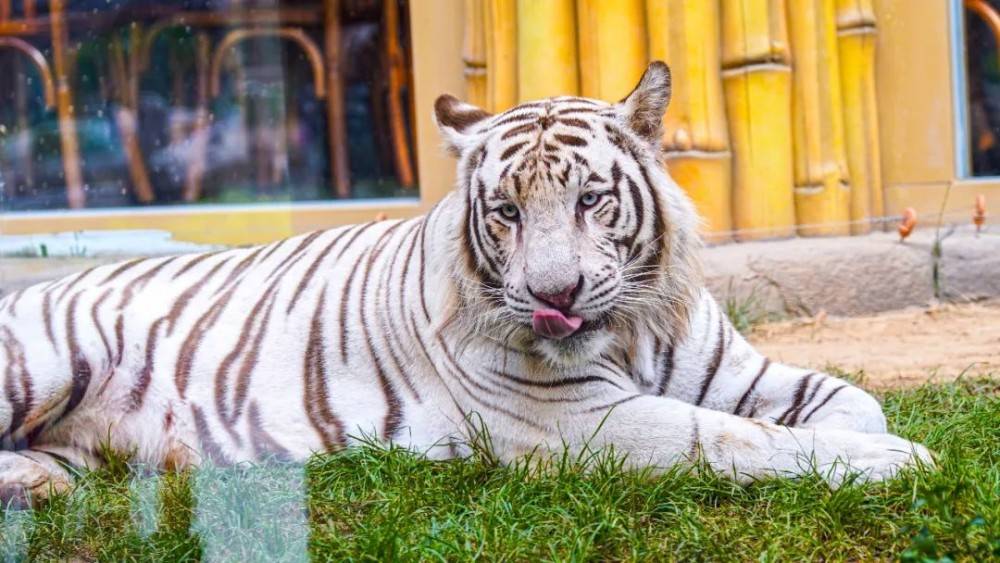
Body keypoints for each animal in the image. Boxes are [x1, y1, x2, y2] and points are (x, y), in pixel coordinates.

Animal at [0, 61, 928, 506]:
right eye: (508, 211)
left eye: (589, 199)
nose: (555, 296)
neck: (632, 326)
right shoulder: (583, 421)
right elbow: (736, 438)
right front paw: (901, 459)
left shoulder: (743, 371)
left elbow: (851, 403)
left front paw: (871, 441)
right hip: (36, 362)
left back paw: (35, 485)